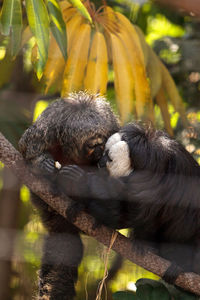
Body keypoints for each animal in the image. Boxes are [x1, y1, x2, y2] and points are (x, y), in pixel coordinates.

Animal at [57, 122, 200, 286]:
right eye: (104, 152)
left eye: (109, 158)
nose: (100, 163)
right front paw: (80, 204)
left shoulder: (151, 181)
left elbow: (127, 214)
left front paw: (81, 182)